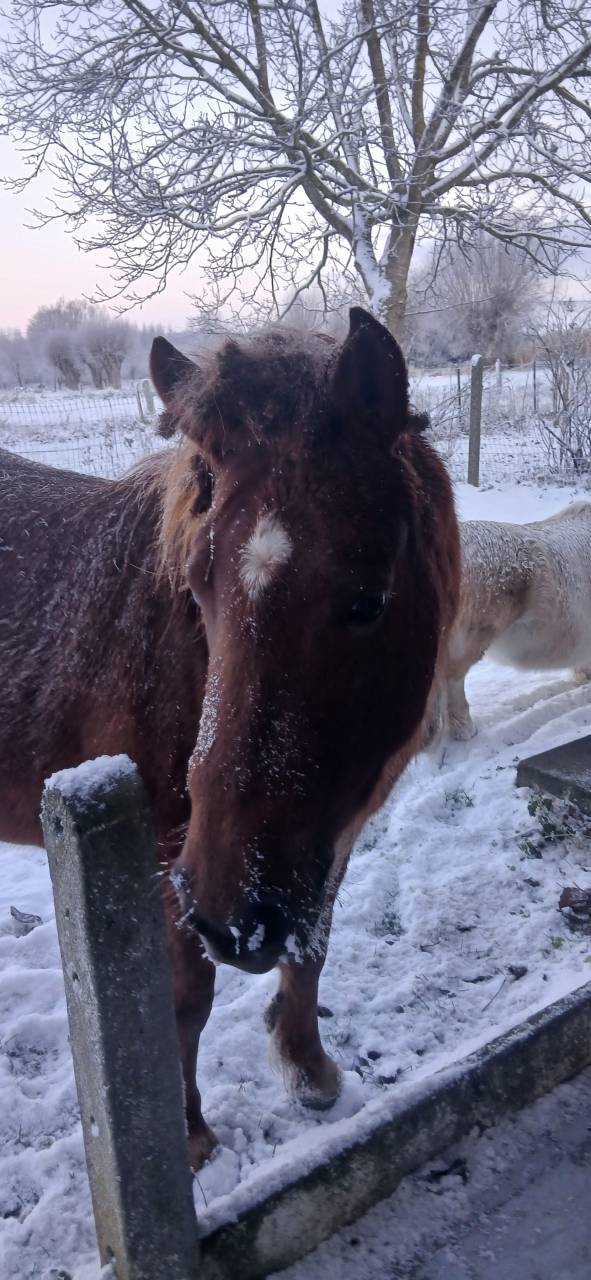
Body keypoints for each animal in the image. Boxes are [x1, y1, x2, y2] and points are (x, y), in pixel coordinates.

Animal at [0, 308, 460, 1168]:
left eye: (366, 601)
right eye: (196, 590)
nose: (232, 919)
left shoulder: (324, 840)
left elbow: (311, 946)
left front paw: (309, 1071)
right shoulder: (164, 861)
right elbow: (184, 999)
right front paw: (188, 1138)